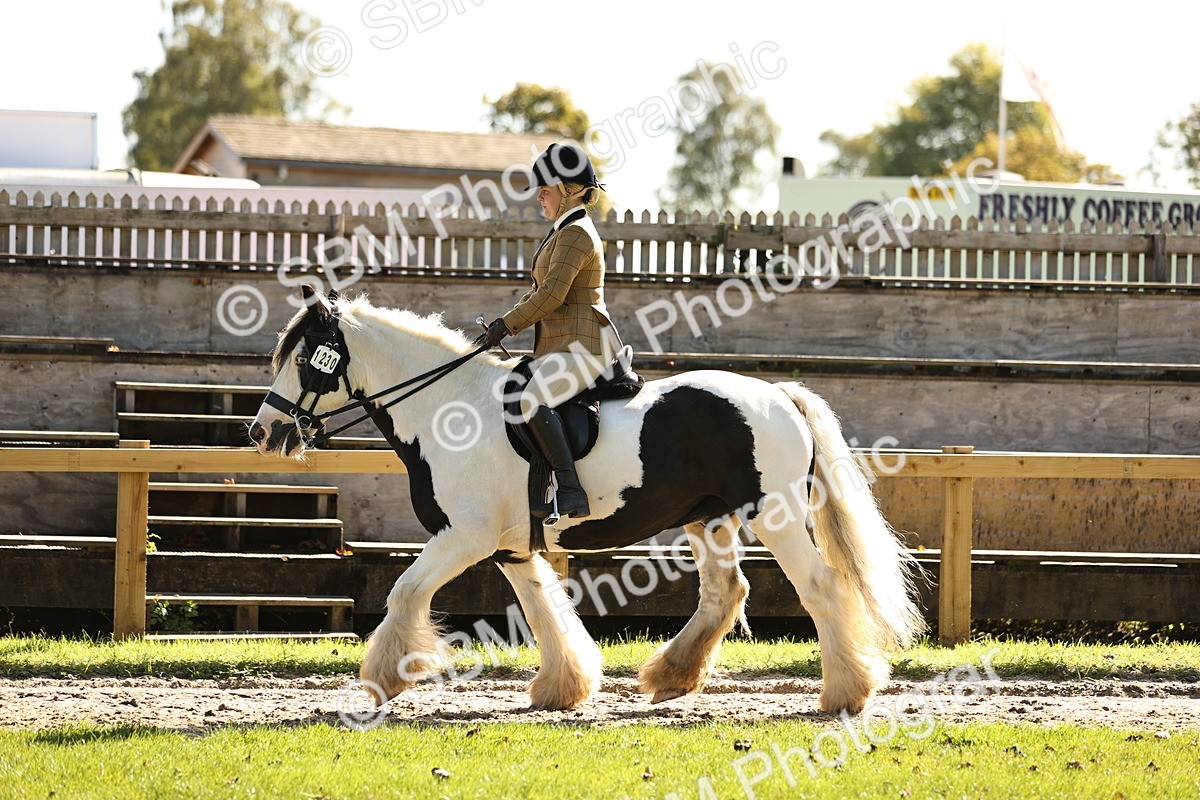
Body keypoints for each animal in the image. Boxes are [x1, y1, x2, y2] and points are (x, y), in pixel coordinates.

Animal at [249, 290, 925, 715]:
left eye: (306, 358)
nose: (263, 432)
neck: (448, 409)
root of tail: (779, 395)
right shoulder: (509, 548)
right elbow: (544, 609)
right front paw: (563, 687)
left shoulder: (462, 538)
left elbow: (404, 592)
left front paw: (385, 677)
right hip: (707, 520)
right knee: (725, 593)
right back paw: (670, 678)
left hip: (776, 518)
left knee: (820, 586)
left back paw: (846, 694)